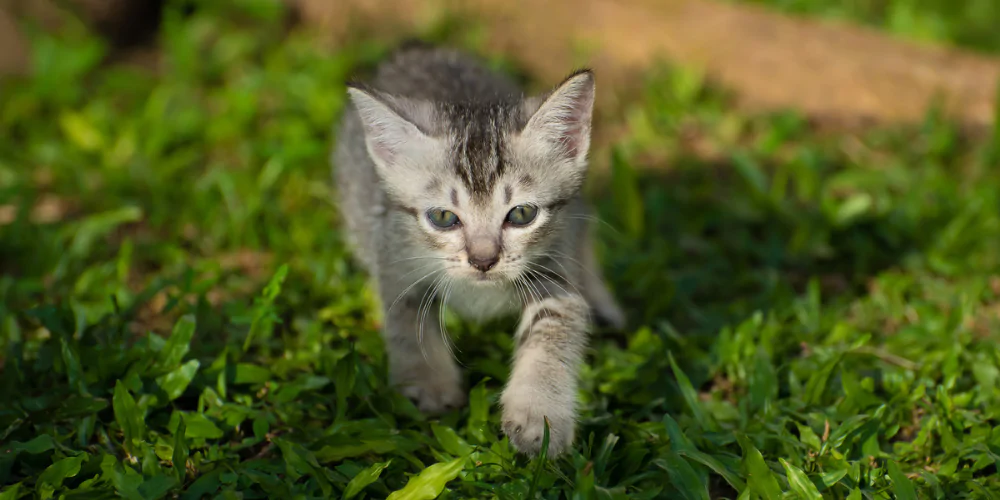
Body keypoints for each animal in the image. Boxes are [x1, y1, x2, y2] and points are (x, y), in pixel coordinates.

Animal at [332, 47, 620, 458]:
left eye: (522, 214)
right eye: (442, 218)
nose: (483, 261)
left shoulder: (556, 264)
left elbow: (555, 326)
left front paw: (539, 416)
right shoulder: (394, 256)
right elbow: (408, 324)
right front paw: (429, 385)